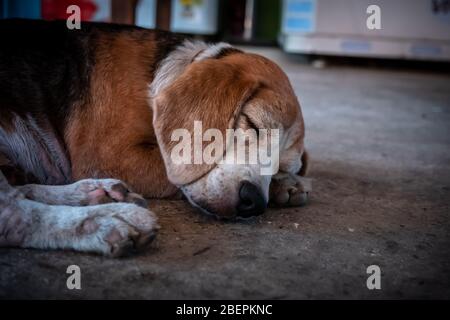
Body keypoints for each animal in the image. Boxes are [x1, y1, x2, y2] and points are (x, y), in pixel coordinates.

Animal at [0, 19, 310, 255]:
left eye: (281, 166)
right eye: (252, 124)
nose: (254, 201)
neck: (157, 77)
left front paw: (286, 183)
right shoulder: (108, 155)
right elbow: (171, 170)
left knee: (23, 190)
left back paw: (97, 194)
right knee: (13, 211)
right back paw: (108, 220)